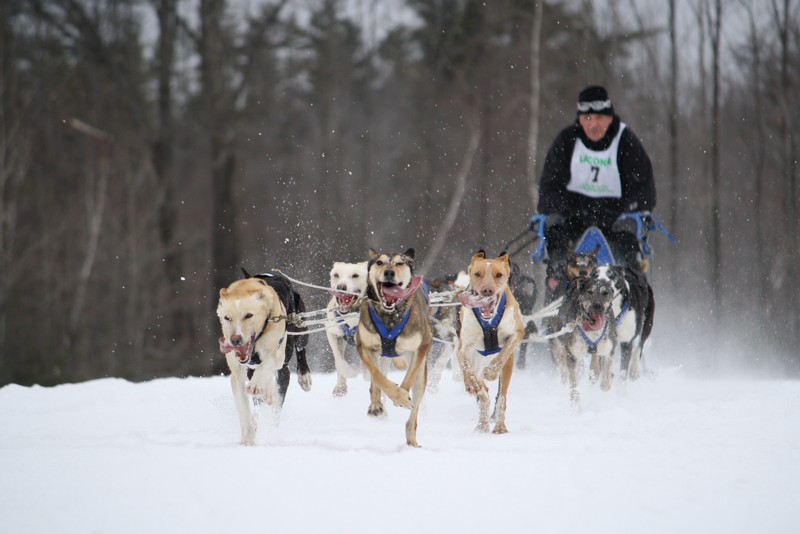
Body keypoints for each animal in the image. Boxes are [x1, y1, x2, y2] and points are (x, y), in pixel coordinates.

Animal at [219, 270, 312, 446]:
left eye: (248, 315)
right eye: (227, 318)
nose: (235, 340)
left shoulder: (275, 357)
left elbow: (265, 368)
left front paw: (258, 386)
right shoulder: (238, 374)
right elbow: (245, 410)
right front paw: (248, 439)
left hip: (299, 332)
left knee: (300, 349)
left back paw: (303, 376)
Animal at [324, 262, 368, 398]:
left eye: (355, 275)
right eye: (336, 275)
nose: (341, 286)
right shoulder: (333, 334)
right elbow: (340, 362)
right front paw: (350, 372)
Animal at [354, 250, 432, 448]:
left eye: (399, 263)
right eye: (379, 262)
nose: (389, 272)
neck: (390, 314)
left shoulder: (422, 346)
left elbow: (409, 376)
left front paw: (401, 397)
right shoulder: (364, 346)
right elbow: (377, 377)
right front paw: (392, 397)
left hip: (421, 377)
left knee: (413, 417)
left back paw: (412, 441)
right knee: (376, 380)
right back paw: (376, 405)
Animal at [456, 252, 524, 436]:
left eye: (499, 275)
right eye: (477, 274)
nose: (487, 290)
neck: (489, 323)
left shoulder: (516, 334)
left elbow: (503, 353)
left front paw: (492, 372)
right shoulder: (464, 347)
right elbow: (465, 364)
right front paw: (471, 383)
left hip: (508, 369)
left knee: (501, 396)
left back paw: (498, 426)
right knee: (483, 393)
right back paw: (482, 423)